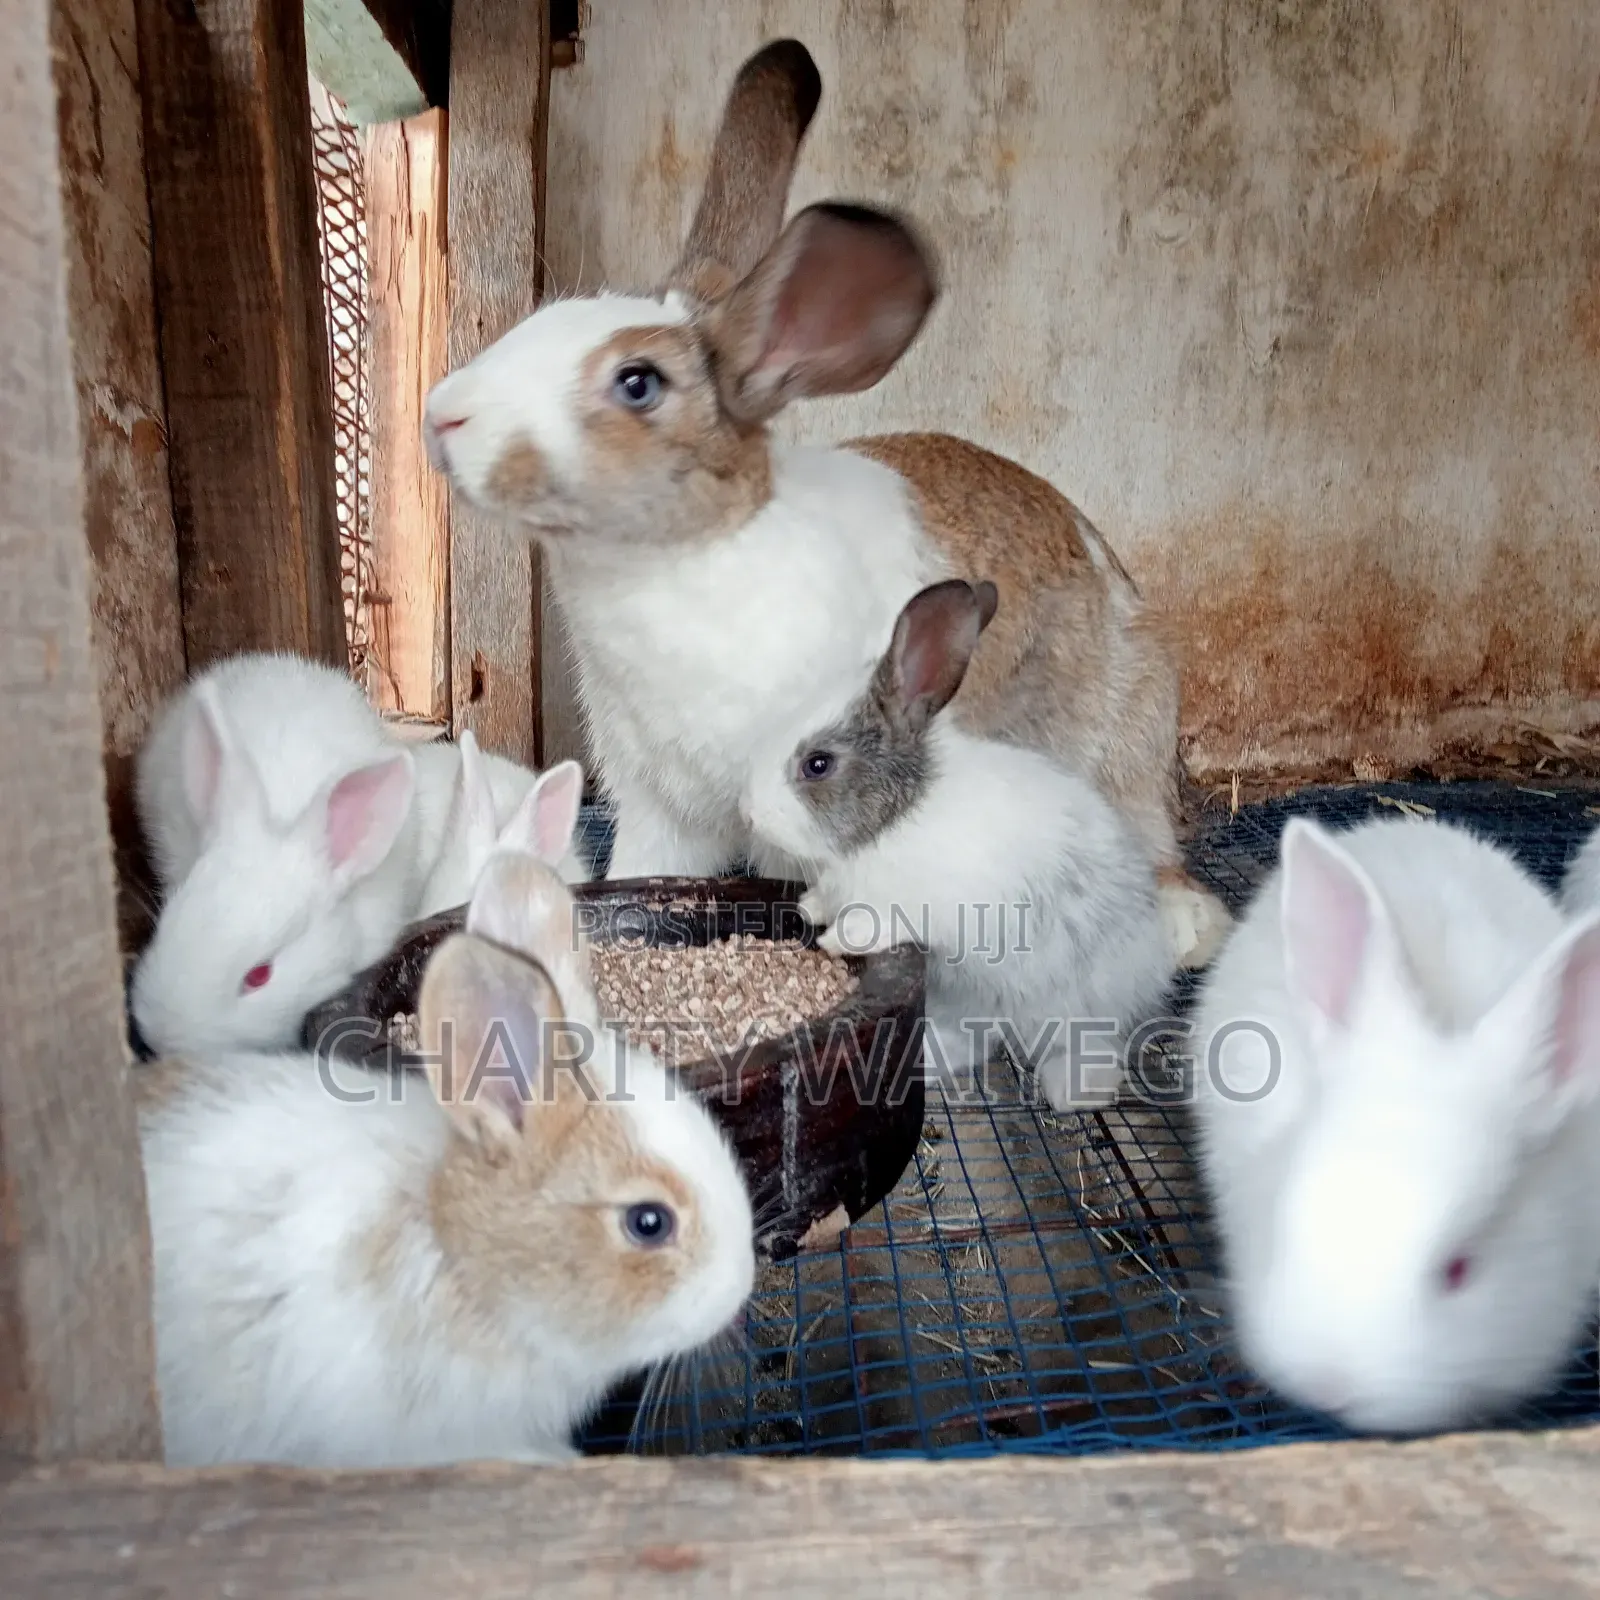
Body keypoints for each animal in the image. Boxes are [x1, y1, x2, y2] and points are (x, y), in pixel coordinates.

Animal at [743, 580, 1174, 1111]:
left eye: (818, 764)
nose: (747, 811)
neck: (895, 821)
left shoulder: (923, 906)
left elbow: (878, 923)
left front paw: (836, 939)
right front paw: (809, 908)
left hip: (1080, 1004)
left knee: (1082, 1043)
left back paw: (1078, 1090)